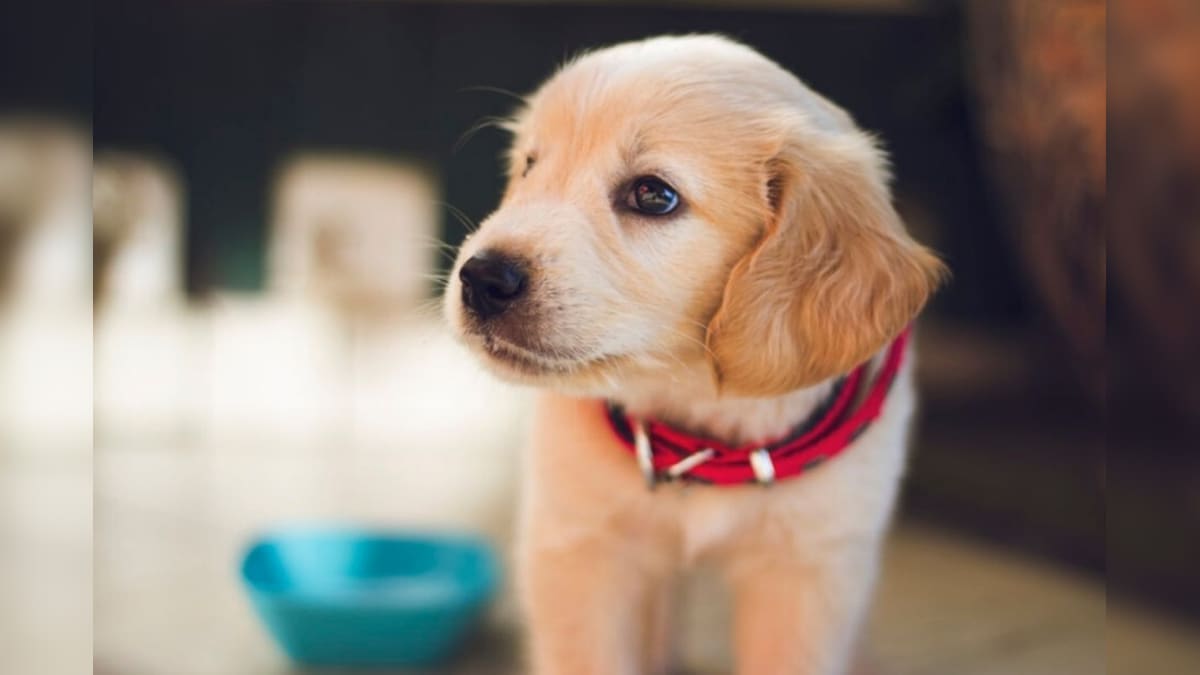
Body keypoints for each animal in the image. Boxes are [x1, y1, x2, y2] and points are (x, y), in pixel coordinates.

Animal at [444, 35, 945, 672]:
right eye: (530, 166)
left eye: (653, 195)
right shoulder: (579, 548)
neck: (699, 425)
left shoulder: (811, 568)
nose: (480, 279)